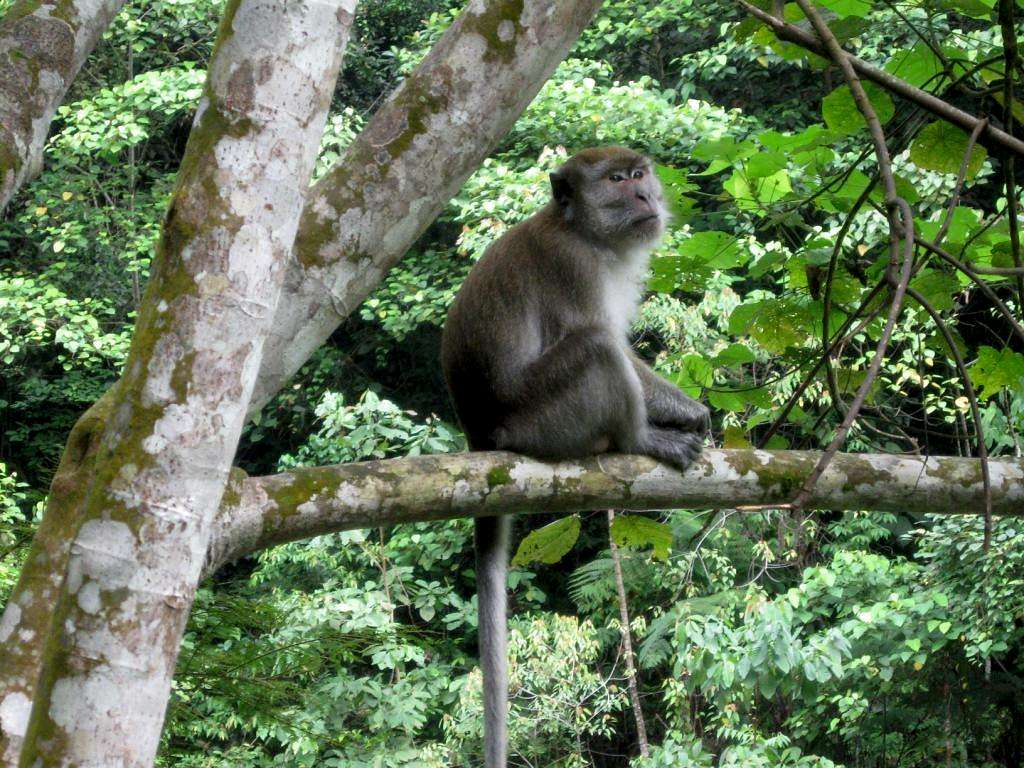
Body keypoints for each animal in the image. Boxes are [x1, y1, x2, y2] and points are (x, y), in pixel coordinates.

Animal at [440, 145, 712, 768]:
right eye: (615, 180)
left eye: (638, 174)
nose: (643, 194)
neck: (585, 233)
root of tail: (481, 435)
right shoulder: (574, 267)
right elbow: (607, 341)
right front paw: (681, 416)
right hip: (541, 423)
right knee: (595, 349)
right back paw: (639, 439)